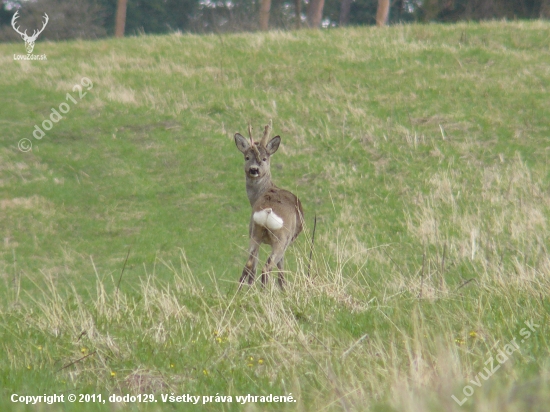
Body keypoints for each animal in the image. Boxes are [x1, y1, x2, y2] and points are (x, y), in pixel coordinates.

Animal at [235, 124, 304, 288]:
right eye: (247, 157)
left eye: (264, 158)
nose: (254, 169)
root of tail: (267, 212)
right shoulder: (288, 241)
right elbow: (281, 274)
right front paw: (284, 290)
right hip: (281, 239)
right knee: (267, 268)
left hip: (254, 232)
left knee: (250, 265)